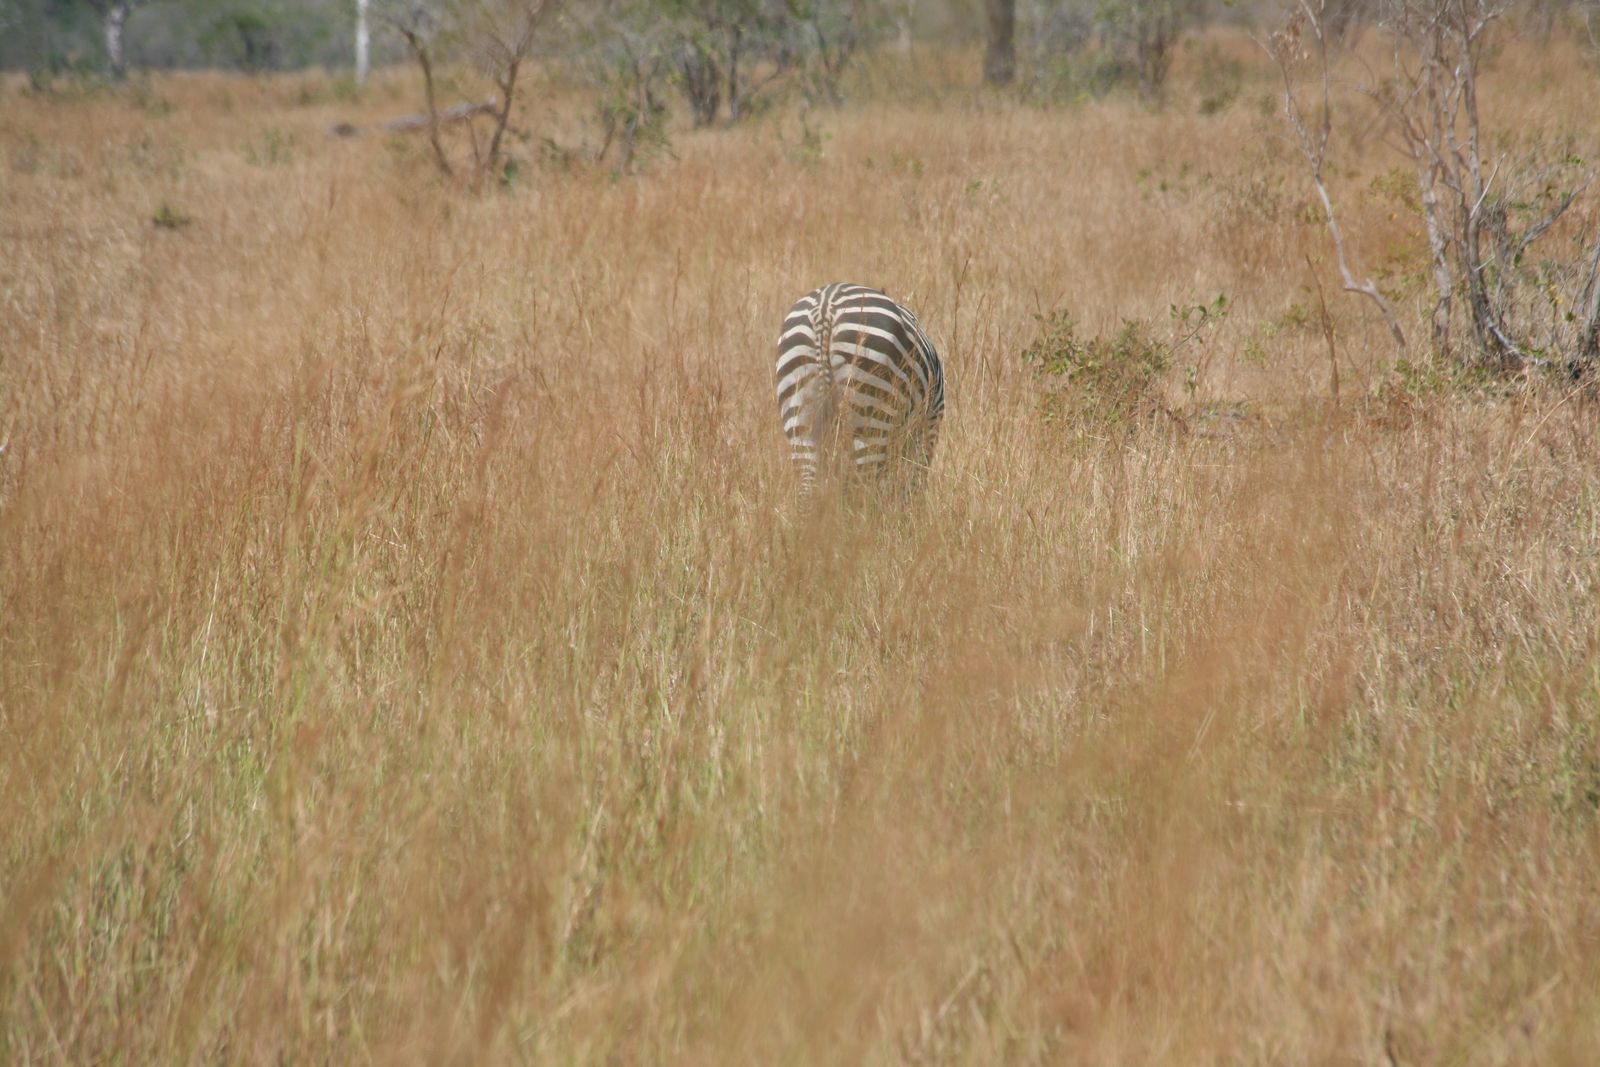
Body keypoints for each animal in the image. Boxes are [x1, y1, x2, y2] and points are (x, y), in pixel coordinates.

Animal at [771, 283, 940, 502]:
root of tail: (825, 312)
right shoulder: (931, 419)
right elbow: (915, 478)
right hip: (871, 415)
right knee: (867, 490)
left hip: (800, 411)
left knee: (806, 490)